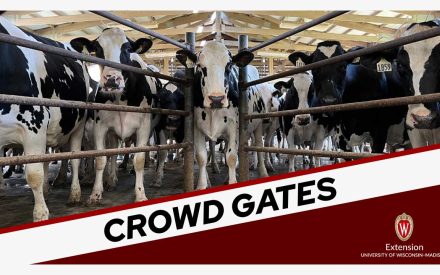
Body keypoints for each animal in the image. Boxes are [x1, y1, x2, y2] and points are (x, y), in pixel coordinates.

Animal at [0, 16, 90, 222]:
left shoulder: (34, 124)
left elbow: (34, 175)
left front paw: (41, 214)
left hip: (78, 126)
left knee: (74, 158)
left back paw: (74, 194)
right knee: (47, 159)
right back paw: (47, 191)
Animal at [70, 28, 162, 205]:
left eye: (127, 49)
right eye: (97, 49)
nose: (112, 79)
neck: (121, 99)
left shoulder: (143, 127)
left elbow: (139, 160)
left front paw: (140, 194)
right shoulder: (100, 126)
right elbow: (101, 158)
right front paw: (95, 193)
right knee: (113, 153)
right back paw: (111, 180)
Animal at [176, 41, 272, 190]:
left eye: (229, 66)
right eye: (200, 66)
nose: (216, 99)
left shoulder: (234, 126)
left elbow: (232, 157)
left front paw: (233, 182)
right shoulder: (197, 127)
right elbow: (201, 156)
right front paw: (202, 185)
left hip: (258, 125)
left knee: (259, 146)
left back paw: (263, 172)